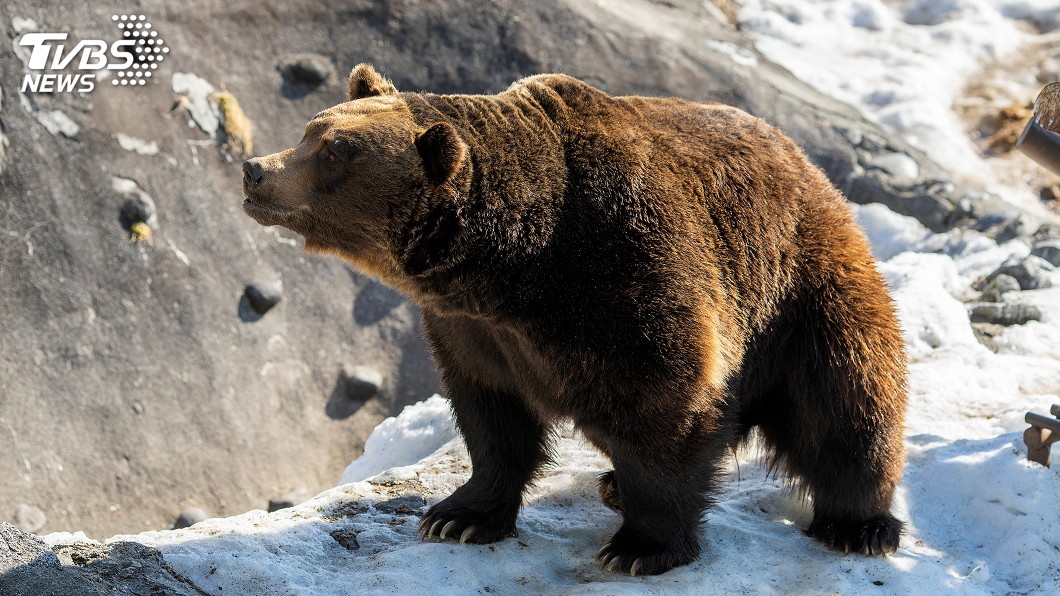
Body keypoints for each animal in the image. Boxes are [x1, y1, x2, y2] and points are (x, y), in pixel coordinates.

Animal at [242, 64, 907, 576]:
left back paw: (860, 525)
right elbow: (490, 414)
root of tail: (804, 161)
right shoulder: (475, 329)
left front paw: (640, 548)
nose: (255, 168)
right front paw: (456, 515)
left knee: (847, 400)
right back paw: (611, 481)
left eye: (334, 151)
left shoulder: (630, 271)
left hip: (803, 288)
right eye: (312, 128)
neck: (518, 264)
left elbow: (664, 406)